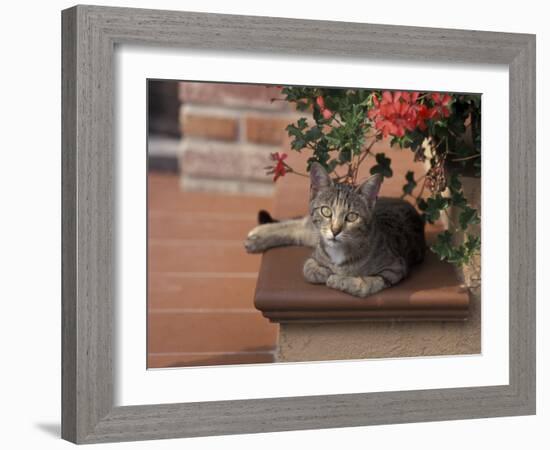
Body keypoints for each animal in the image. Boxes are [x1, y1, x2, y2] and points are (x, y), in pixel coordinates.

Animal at [246, 163, 426, 298]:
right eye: (326, 211)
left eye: (352, 216)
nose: (335, 230)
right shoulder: (316, 252)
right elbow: (308, 268)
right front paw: (325, 273)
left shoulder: (395, 267)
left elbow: (366, 284)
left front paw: (339, 279)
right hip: (313, 231)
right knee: (298, 225)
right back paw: (257, 236)